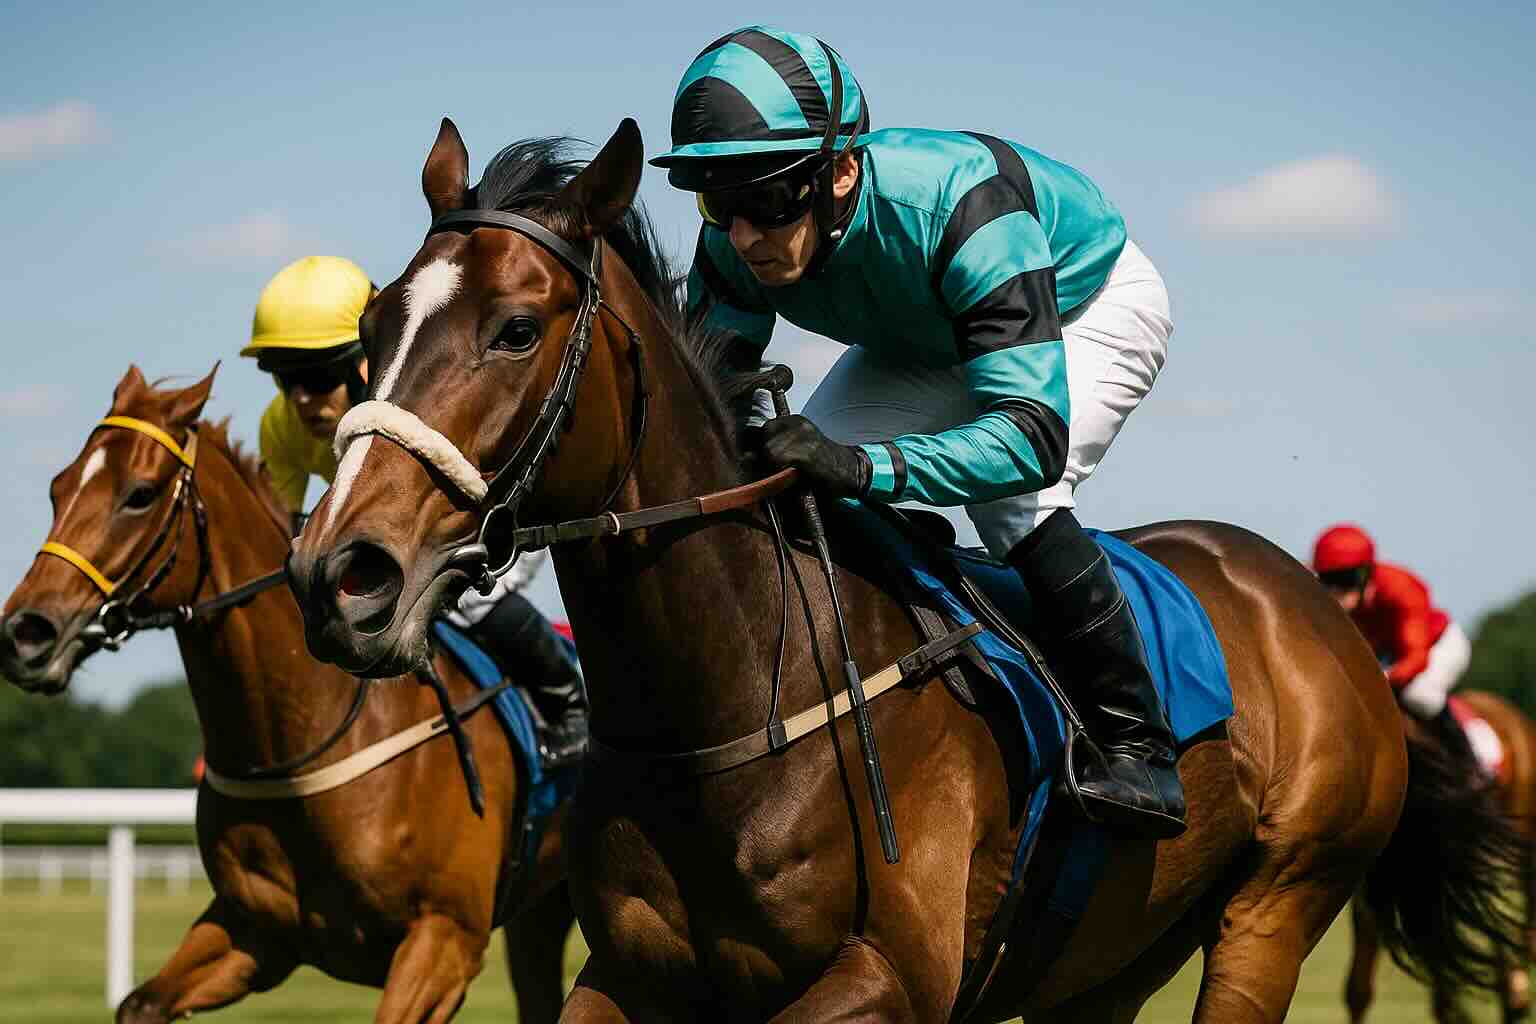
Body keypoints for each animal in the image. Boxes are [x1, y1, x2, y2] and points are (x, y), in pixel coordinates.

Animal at [0, 365, 575, 1024]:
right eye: (57, 488)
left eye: (139, 494)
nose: (24, 633)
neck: (308, 740)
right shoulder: (256, 931)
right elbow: (139, 1004)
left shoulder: (445, 940)